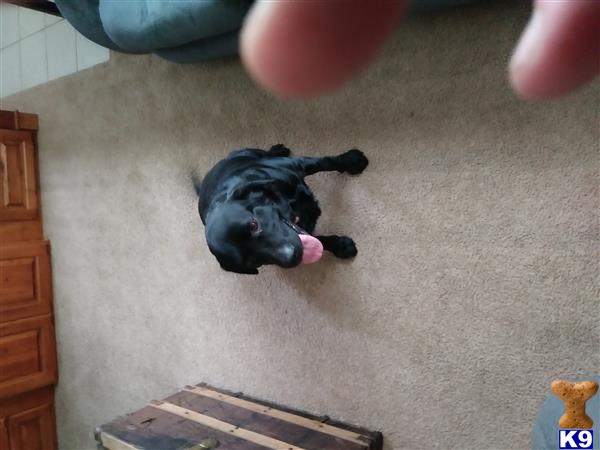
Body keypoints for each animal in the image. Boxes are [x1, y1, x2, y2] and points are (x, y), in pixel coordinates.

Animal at [195, 144, 368, 274]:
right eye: (250, 262)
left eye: (254, 225)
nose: (292, 257)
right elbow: (319, 240)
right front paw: (340, 246)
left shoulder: (297, 164)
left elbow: (326, 162)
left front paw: (351, 161)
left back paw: (277, 149)